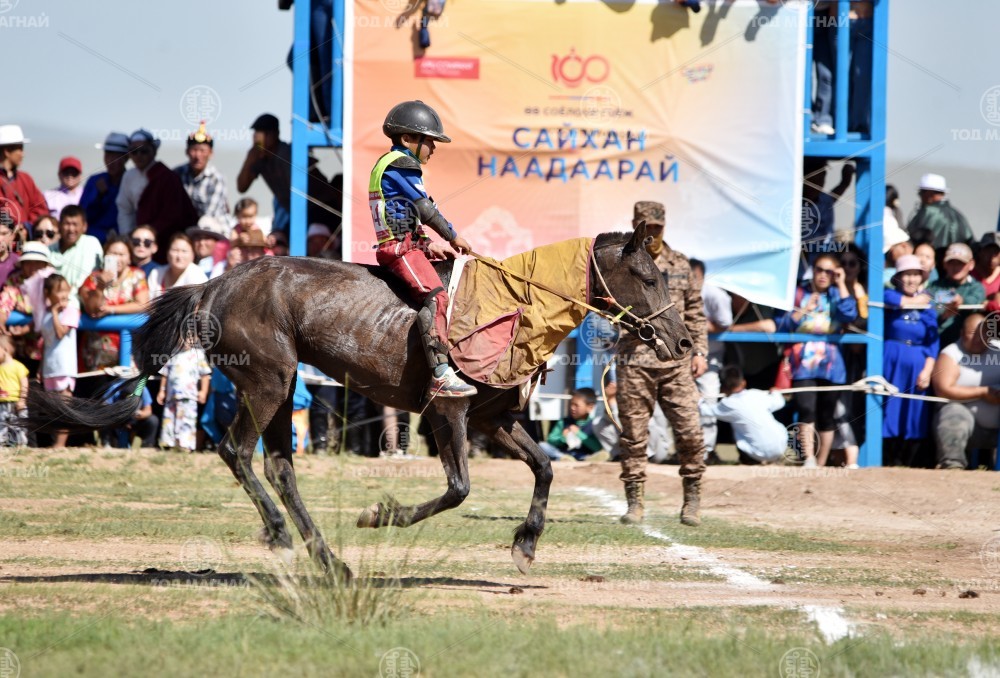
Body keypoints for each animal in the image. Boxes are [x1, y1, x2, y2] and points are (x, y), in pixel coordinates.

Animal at [26, 225, 692, 580]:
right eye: (647, 276)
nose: (684, 341)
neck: (514, 304)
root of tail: (215, 284)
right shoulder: (449, 414)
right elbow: (458, 490)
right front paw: (381, 515)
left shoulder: (493, 420)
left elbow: (546, 468)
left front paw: (525, 545)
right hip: (267, 383)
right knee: (236, 451)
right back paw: (281, 534)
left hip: (279, 388)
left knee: (278, 466)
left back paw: (327, 557)